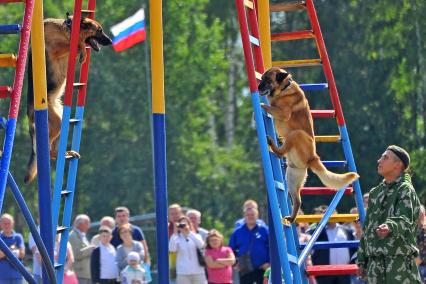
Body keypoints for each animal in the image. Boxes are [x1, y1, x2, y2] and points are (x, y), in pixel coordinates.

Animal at [24, 13, 112, 184]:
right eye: (99, 30)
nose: (111, 41)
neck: (68, 27)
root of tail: (29, 112)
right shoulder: (57, 48)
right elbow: (77, 44)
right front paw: (82, 50)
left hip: (60, 119)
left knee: (54, 148)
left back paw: (67, 153)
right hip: (56, 123)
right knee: (48, 151)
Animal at [256, 66, 360, 222]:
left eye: (268, 80)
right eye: (262, 78)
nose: (257, 87)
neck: (284, 88)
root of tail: (313, 157)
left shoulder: (283, 113)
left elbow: (268, 106)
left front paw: (261, 104)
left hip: (296, 134)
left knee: (280, 153)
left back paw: (272, 143)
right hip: (292, 179)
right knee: (298, 200)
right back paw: (291, 218)